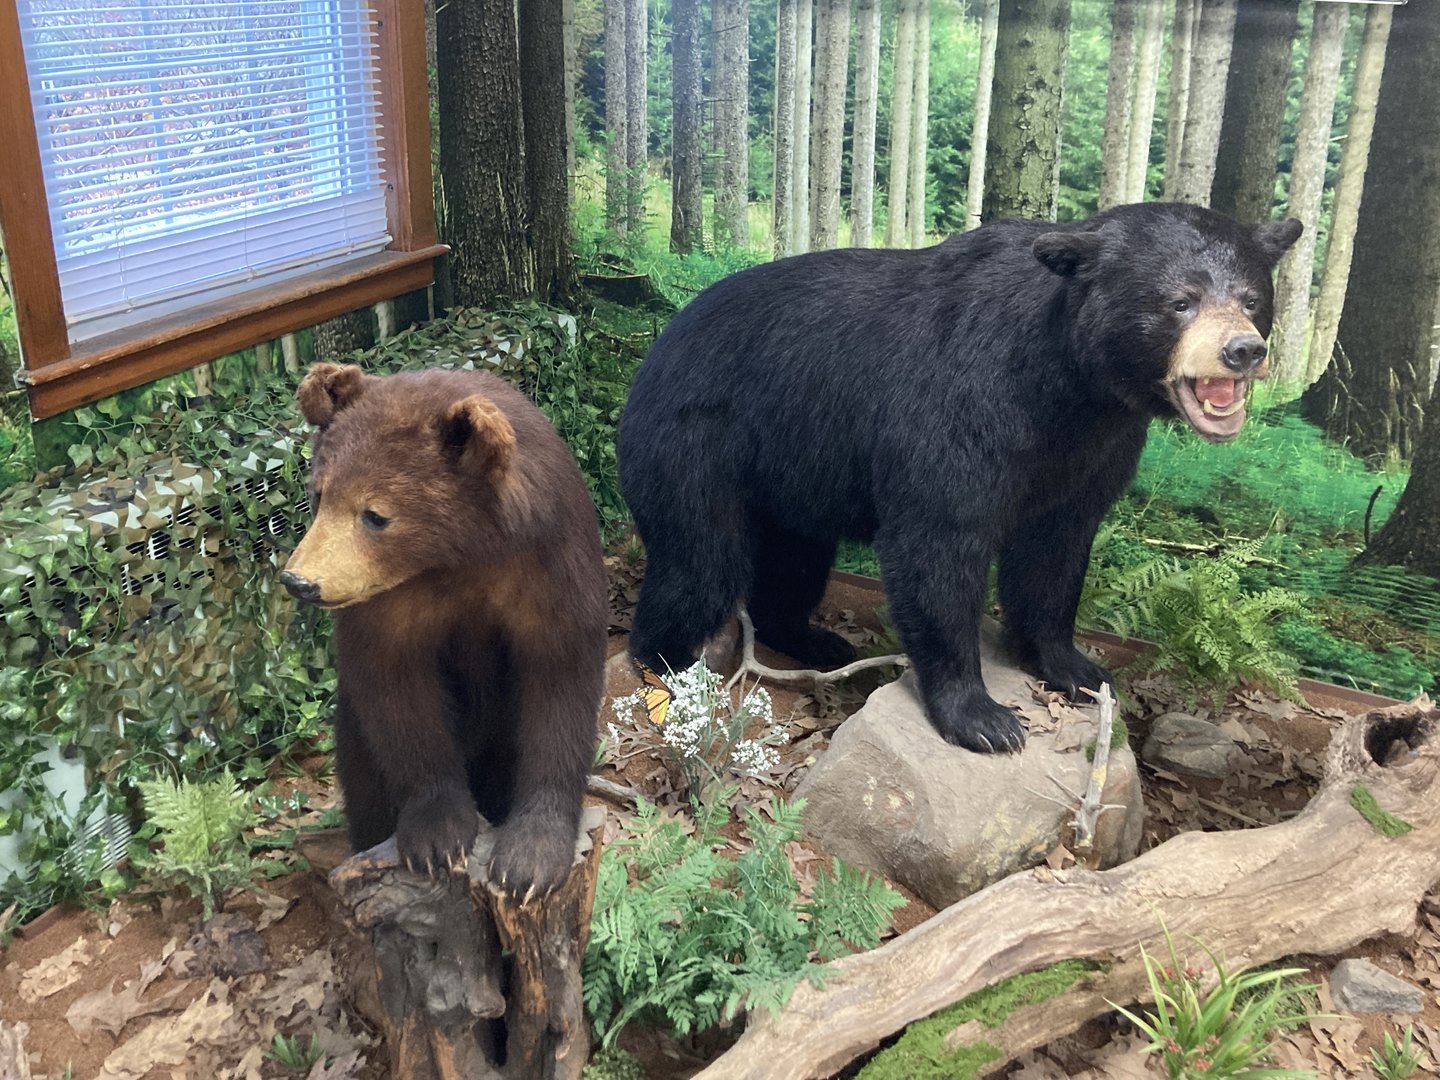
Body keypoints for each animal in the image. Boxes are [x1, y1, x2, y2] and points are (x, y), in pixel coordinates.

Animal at [281, 363, 607, 898]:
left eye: (375, 515)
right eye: (318, 494)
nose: (299, 580)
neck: (461, 554)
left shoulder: (549, 567)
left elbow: (559, 685)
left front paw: (529, 861)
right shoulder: (393, 600)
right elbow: (398, 693)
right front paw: (437, 839)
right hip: (353, 743)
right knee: (364, 788)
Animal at [617, 202, 1301, 754]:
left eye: (1251, 298)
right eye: (1179, 300)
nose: (1242, 350)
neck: (1069, 385)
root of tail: (657, 343)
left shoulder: (1095, 448)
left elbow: (1056, 548)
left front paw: (1076, 668)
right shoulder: (963, 406)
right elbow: (939, 542)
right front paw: (983, 718)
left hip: (792, 471)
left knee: (796, 559)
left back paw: (814, 640)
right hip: (696, 443)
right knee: (701, 561)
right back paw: (667, 664)